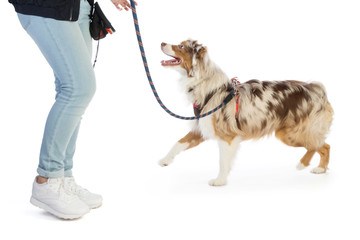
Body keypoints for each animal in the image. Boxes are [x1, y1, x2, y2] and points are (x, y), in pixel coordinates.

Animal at [159, 39, 334, 186]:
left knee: (318, 144)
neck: (207, 86)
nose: (161, 43)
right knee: (325, 145)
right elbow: (178, 143)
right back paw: (321, 169)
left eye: (181, 46)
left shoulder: (227, 136)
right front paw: (164, 160)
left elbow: (223, 161)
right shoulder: (201, 128)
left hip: (292, 133)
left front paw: (219, 181)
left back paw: (302, 164)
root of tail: (316, 88)